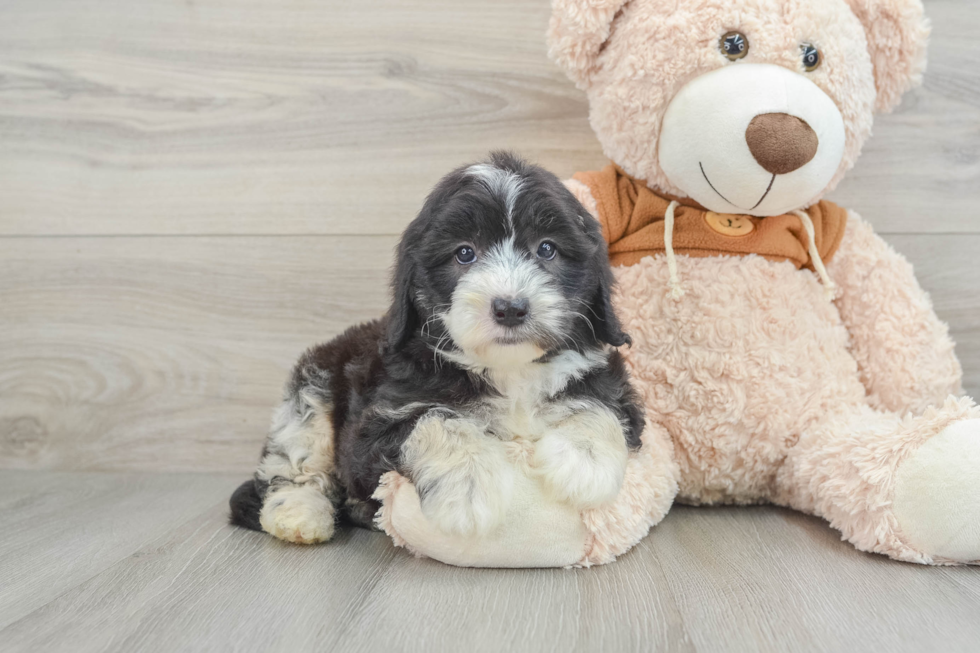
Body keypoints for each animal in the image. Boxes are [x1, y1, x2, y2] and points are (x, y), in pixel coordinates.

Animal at [229, 150, 644, 544]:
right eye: (464, 253)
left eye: (546, 249)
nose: (510, 308)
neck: (510, 369)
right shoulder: (374, 427)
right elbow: (435, 419)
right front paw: (469, 486)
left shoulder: (609, 381)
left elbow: (599, 403)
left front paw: (584, 462)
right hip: (311, 395)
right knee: (294, 464)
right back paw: (299, 514)